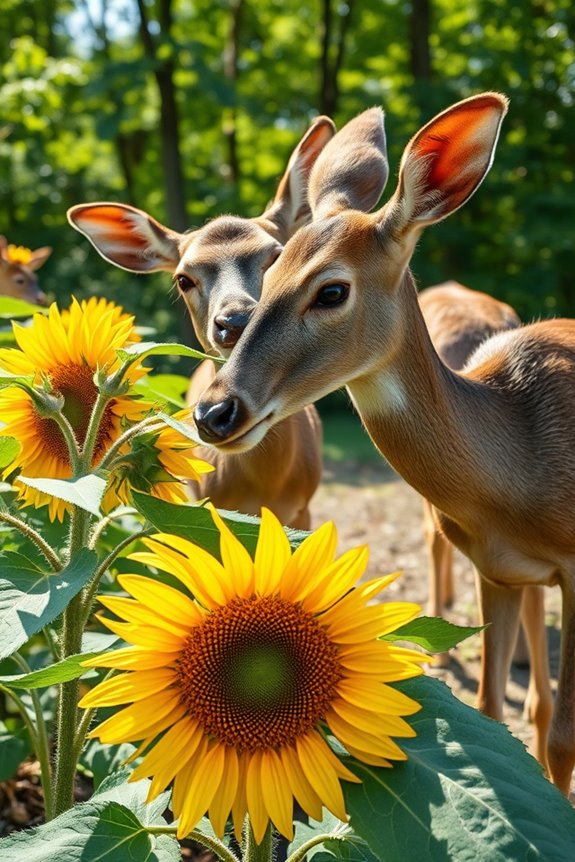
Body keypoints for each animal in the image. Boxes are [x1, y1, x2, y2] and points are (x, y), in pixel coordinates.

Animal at [192, 93, 575, 792]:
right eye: (271, 270)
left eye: (332, 290)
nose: (215, 412)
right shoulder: (499, 568)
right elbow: (492, 712)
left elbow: (564, 737)